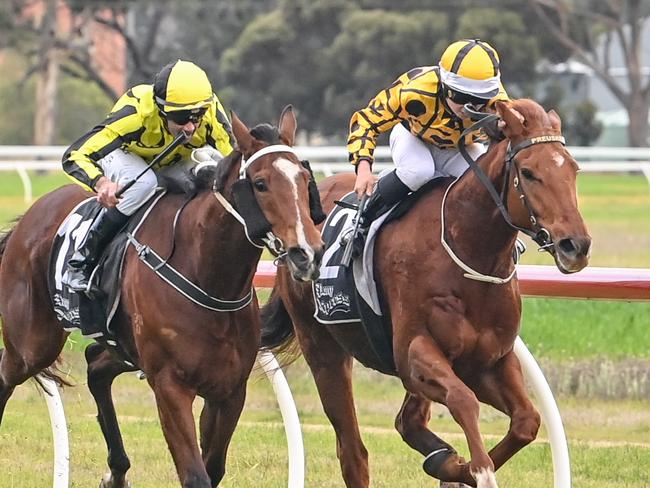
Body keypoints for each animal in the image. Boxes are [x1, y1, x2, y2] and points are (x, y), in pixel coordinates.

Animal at [0, 105, 324, 486]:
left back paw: (117, 470)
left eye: (304, 179)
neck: (208, 275)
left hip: (124, 348)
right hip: (32, 345)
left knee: (96, 364)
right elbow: (196, 475)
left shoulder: (229, 390)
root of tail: (29, 217)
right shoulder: (170, 386)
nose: (307, 253)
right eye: (260, 184)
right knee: (7, 374)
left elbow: (214, 468)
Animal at [258, 99, 588, 488]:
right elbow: (462, 400)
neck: (467, 248)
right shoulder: (414, 352)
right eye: (529, 171)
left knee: (408, 422)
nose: (575, 246)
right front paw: (476, 470)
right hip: (323, 348)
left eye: (573, 169)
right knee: (353, 451)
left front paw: (455, 469)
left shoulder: (489, 361)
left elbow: (527, 420)